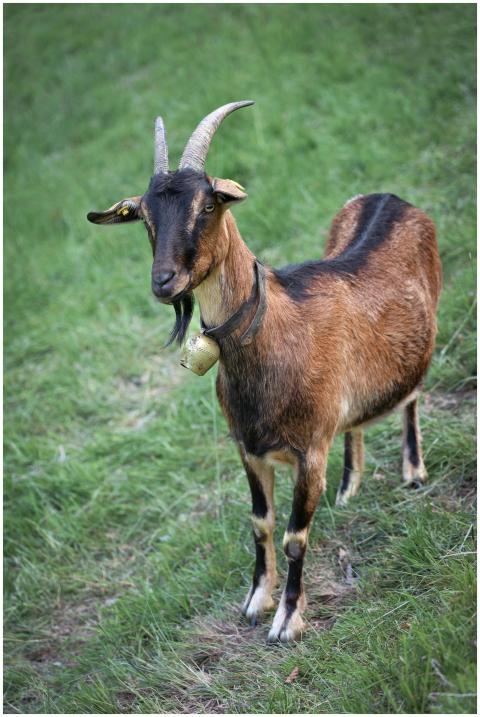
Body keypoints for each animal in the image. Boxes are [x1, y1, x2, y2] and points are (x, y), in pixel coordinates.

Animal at [87, 101, 442, 642]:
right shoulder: (249, 448)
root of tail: (390, 197)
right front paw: (256, 601)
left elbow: (295, 535)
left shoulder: (308, 451)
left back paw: (414, 471)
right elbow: (261, 524)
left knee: (413, 396)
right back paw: (349, 487)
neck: (274, 330)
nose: (164, 281)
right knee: (358, 421)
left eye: (207, 205)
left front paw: (288, 620)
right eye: (144, 215)